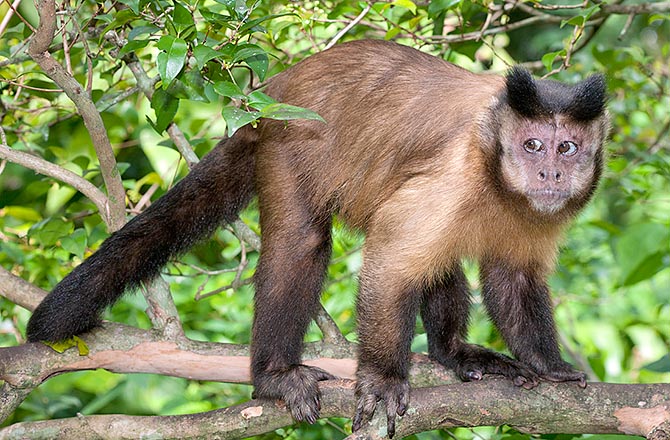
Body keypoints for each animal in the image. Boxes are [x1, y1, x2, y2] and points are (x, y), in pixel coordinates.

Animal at [28, 40, 612, 436]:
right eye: (533, 144)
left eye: (567, 148)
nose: (550, 173)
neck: (497, 174)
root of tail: (273, 90)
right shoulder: (455, 172)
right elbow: (390, 262)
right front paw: (382, 378)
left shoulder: (540, 214)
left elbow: (511, 278)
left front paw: (549, 367)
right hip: (289, 142)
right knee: (303, 243)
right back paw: (274, 376)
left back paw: (452, 354)